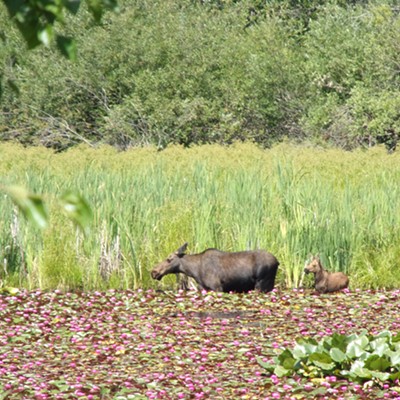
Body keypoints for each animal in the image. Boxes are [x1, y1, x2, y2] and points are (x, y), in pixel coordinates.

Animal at [150, 242, 278, 292]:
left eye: (169, 259)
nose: (154, 272)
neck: (194, 271)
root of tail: (277, 262)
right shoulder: (203, 288)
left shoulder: (217, 287)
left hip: (262, 284)